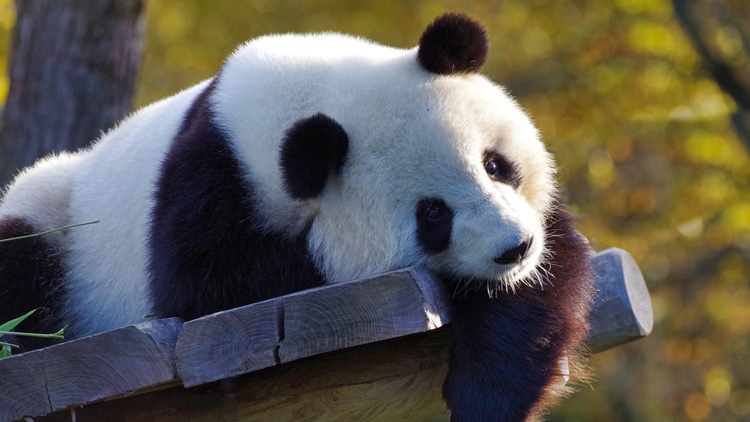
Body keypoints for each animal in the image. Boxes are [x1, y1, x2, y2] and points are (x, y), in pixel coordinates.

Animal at [1, 11, 600, 420]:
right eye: (432, 214)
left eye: (495, 164)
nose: (514, 248)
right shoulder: (206, 186)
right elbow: (207, 289)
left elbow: (546, 278)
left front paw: (488, 393)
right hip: (55, 218)